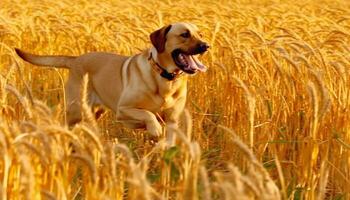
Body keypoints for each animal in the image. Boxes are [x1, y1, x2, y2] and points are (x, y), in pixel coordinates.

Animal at [15, 22, 208, 144]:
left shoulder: (172, 120)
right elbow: (148, 114)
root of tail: (76, 59)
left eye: (200, 34)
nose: (206, 45)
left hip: (94, 111)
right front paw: (154, 128)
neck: (165, 79)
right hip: (75, 110)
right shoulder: (123, 109)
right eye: (184, 34)